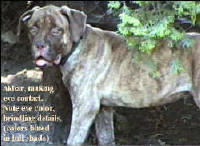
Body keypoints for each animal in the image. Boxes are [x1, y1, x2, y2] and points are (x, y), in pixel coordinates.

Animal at [18, 4, 199, 146]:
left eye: (57, 30)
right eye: (33, 28)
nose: (39, 45)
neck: (76, 46)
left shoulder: (85, 107)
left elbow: (73, 139)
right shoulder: (103, 110)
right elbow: (106, 138)